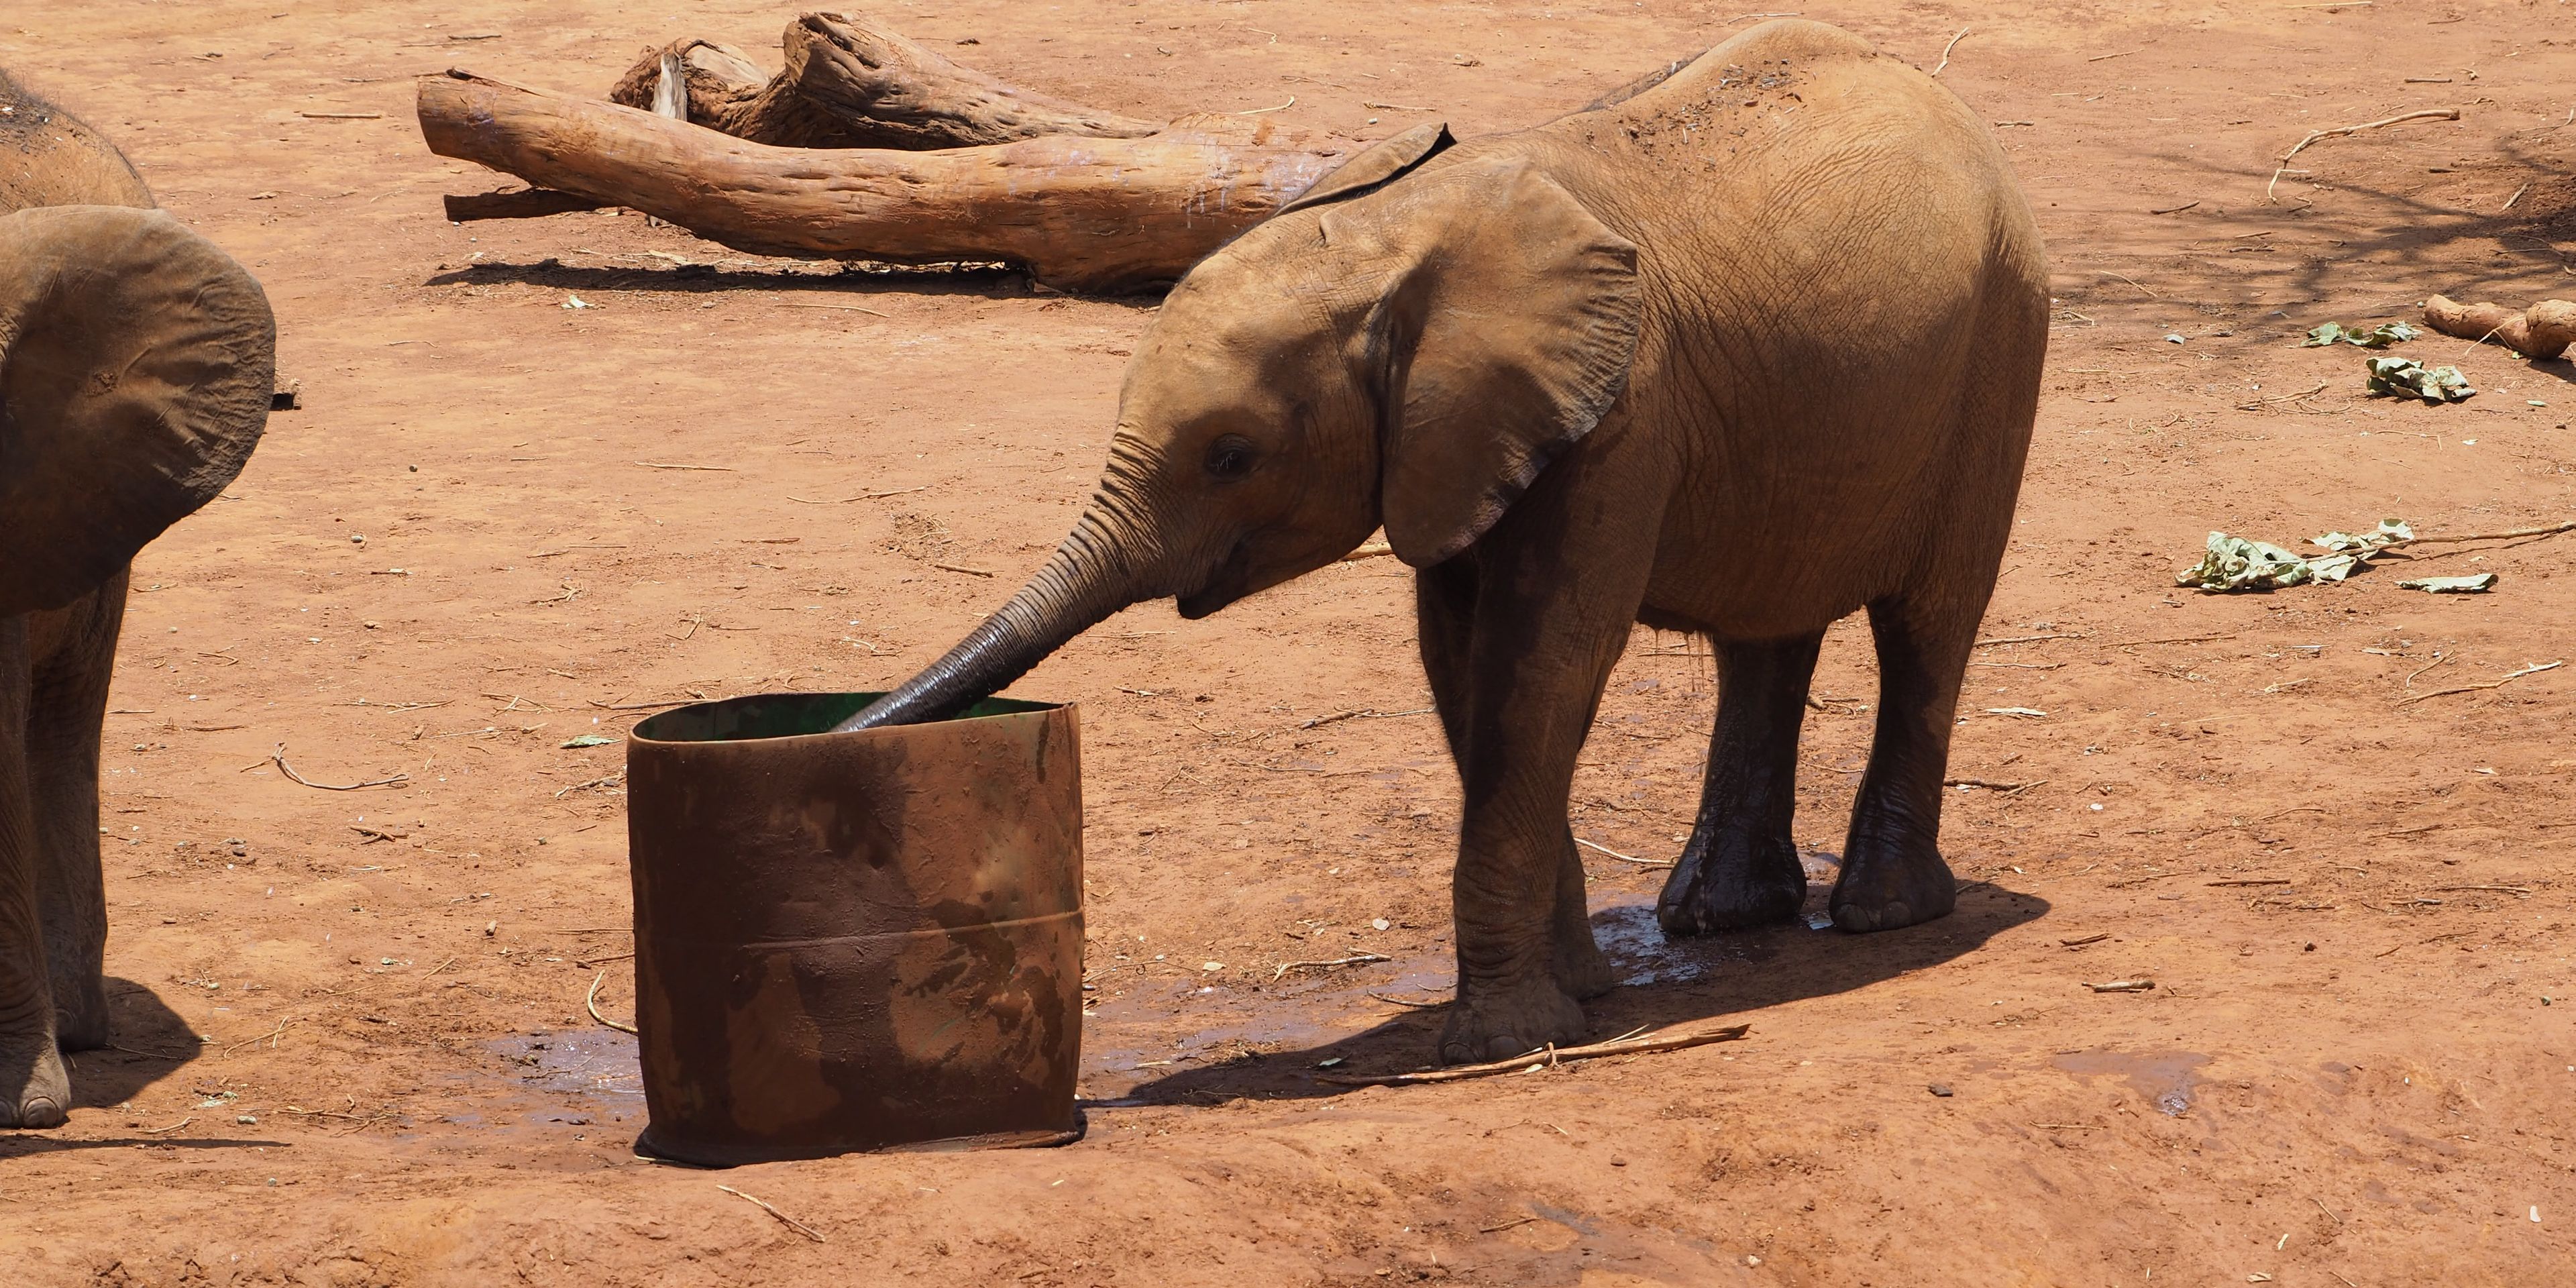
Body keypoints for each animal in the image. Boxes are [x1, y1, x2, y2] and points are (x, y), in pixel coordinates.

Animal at [843, 20, 2046, 1063]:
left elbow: (1542, 666)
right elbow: (1461, 667)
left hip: (2002, 340)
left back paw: (1883, 915)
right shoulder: (1467, 442)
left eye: (1231, 456)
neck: (1397, 236)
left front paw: (1506, 1041)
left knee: (1929, 625)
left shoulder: (1622, 416)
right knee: (1768, 626)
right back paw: (1716, 920)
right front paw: (1581, 993)